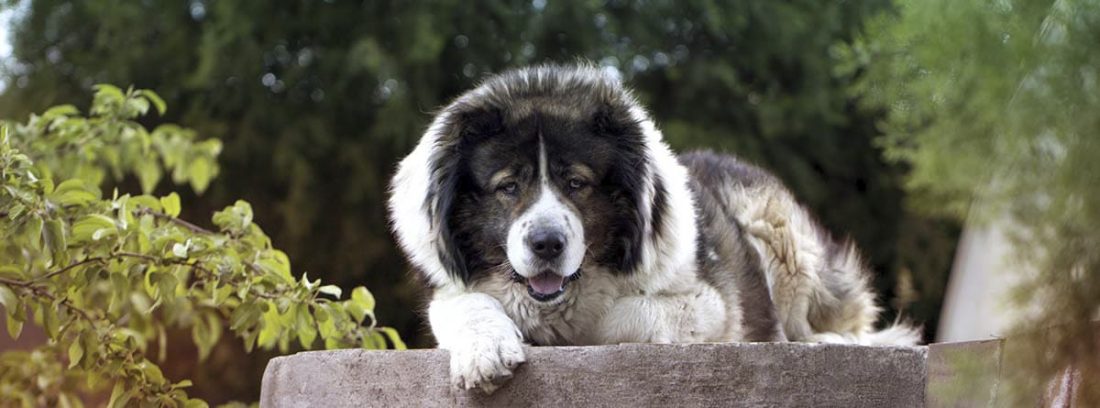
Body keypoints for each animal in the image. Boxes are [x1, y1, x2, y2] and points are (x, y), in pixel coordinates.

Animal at [389, 63, 919, 393]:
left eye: (577, 183)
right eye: (508, 185)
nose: (546, 243)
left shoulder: (712, 305)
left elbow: (625, 315)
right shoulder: (450, 293)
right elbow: (467, 306)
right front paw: (488, 350)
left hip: (776, 231)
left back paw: (831, 341)